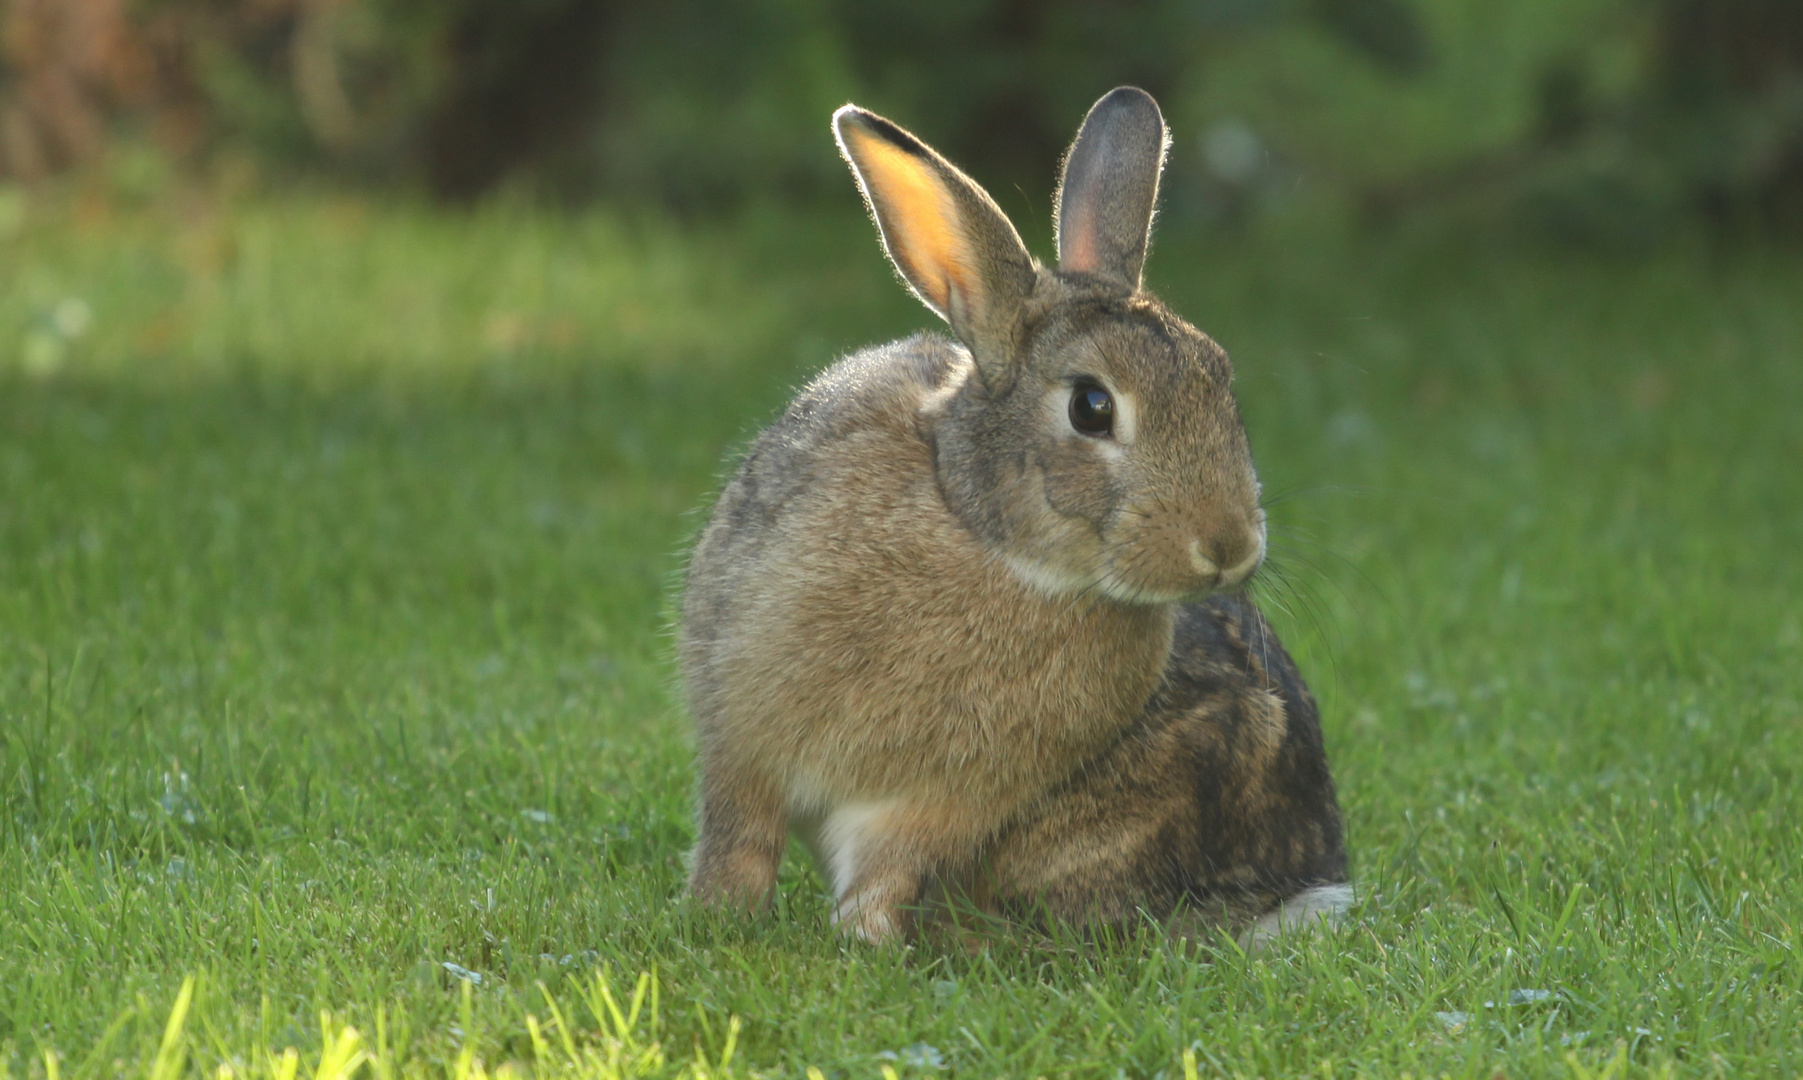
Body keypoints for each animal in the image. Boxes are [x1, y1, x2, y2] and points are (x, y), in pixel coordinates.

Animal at [681, 86, 1348, 944]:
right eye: (1091, 407)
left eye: (1219, 377)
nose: (1228, 545)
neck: (987, 540)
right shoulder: (740, 741)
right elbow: (738, 839)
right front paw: (717, 917)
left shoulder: (933, 806)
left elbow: (881, 874)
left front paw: (862, 942)